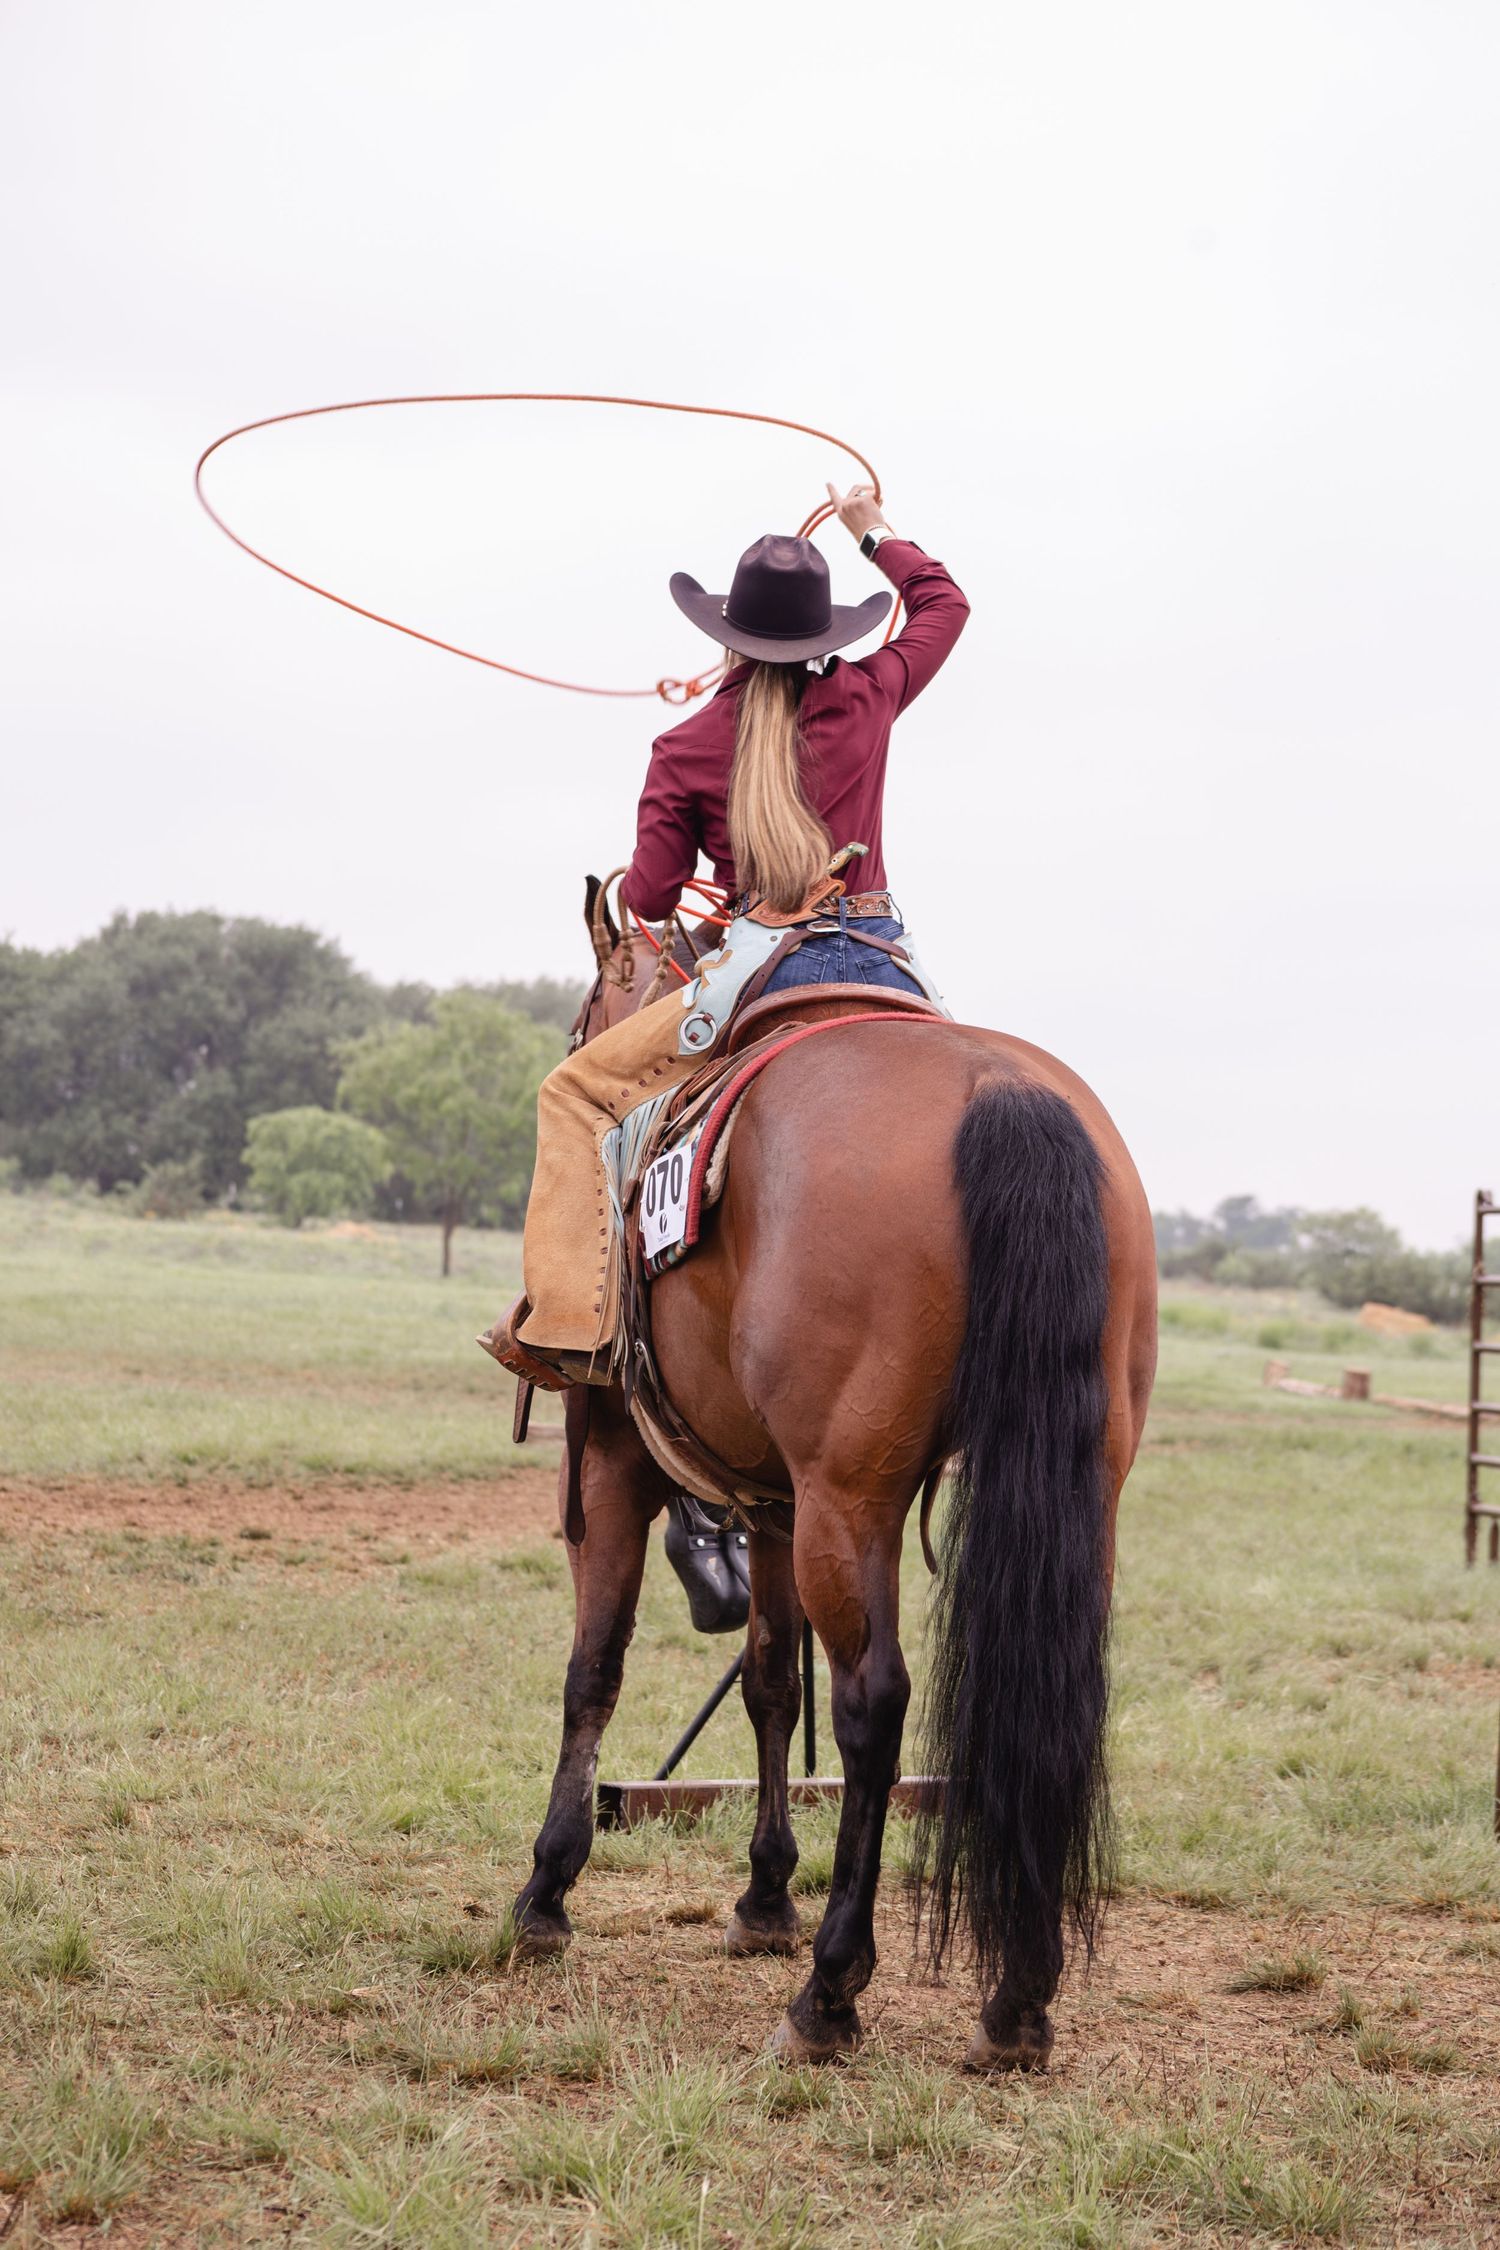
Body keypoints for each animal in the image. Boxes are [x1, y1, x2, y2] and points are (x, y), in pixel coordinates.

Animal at [508, 881, 1157, 2070]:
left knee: (872, 1703)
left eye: (586, 1015)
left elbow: (594, 1667)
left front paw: (546, 1888)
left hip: (850, 1498)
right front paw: (765, 1896)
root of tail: (999, 1094)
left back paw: (831, 1991)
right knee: (1049, 1697)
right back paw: (1017, 1999)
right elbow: (769, 1678)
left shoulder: (616, 1465)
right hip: (1069, 1487)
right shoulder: (770, 1503)